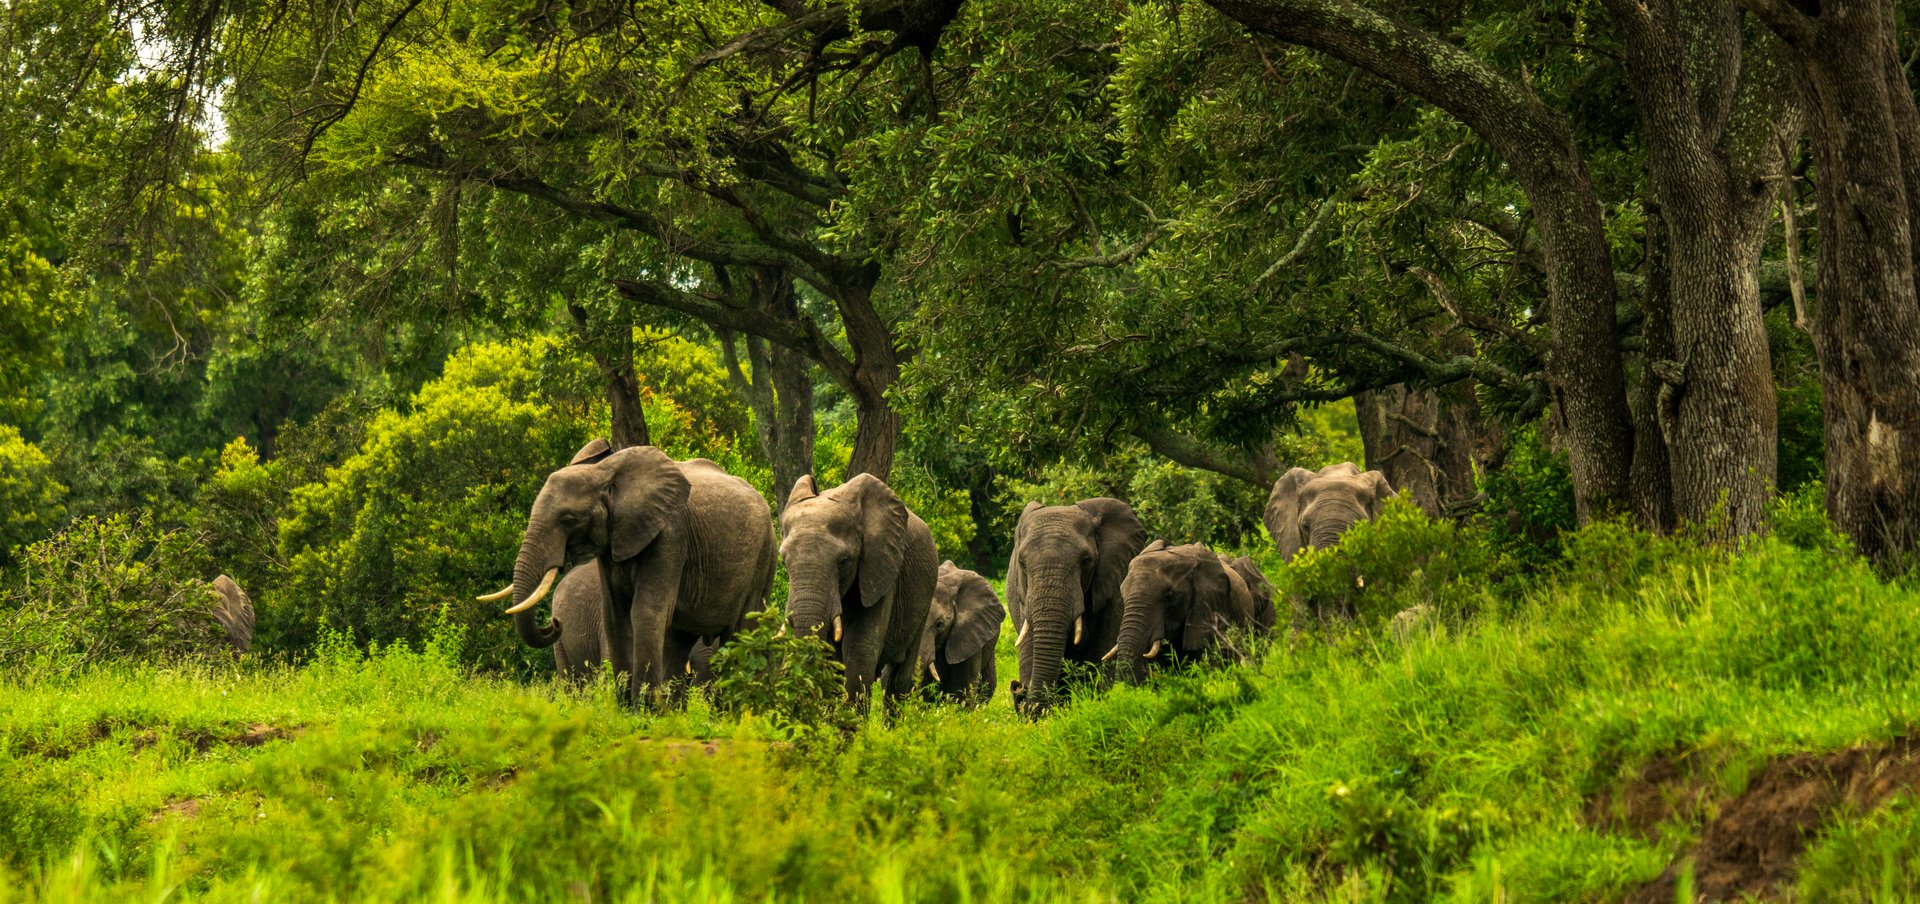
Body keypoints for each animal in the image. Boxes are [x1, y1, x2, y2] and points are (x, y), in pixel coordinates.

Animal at [479, 444, 776, 708]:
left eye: (570, 519)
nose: (554, 623)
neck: (604, 473)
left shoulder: (670, 535)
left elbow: (645, 612)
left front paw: (643, 711)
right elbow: (616, 617)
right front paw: (629, 710)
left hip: (764, 558)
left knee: (742, 633)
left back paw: (732, 716)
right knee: (679, 640)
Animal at [780, 473, 938, 709]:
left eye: (843, 562)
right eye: (783, 561)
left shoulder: (881, 567)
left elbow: (860, 649)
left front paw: (851, 720)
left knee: (898, 679)